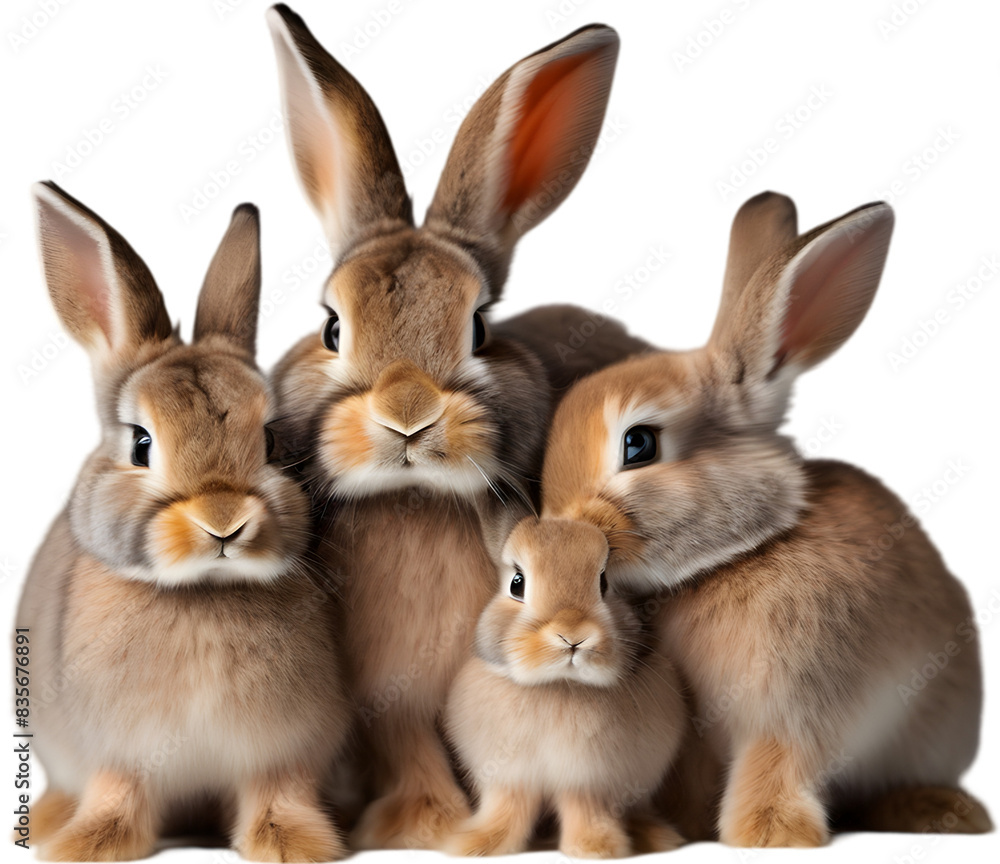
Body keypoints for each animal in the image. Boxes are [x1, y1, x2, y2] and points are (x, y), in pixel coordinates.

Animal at [15, 182, 351, 862]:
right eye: (140, 444)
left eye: (270, 441)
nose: (223, 524)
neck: (202, 593)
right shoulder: (116, 751)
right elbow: (118, 791)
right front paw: (91, 844)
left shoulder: (284, 750)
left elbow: (277, 790)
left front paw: (293, 843)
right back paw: (47, 821)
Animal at [264, 5, 649, 848]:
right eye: (331, 327)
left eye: (481, 327)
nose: (407, 416)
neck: (415, 502)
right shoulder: (390, 698)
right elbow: (409, 742)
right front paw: (426, 823)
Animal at [444, 517, 685, 858]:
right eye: (517, 583)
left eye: (604, 583)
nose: (573, 636)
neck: (560, 685)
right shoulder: (511, 778)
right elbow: (508, 808)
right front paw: (477, 845)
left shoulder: (587, 780)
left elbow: (584, 808)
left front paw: (596, 848)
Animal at [529, 191, 991, 846]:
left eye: (639, 445)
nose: (562, 527)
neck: (737, 554)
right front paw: (687, 826)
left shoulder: (796, 706)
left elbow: (779, 760)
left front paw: (767, 833)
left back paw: (939, 812)